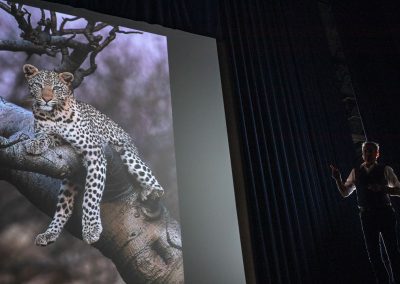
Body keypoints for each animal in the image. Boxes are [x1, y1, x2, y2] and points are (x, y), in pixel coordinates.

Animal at [22, 63, 164, 245]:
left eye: (56, 88)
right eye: (39, 86)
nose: (46, 99)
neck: (52, 114)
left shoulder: (95, 153)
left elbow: (91, 196)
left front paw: (91, 230)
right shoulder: (53, 135)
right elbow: (46, 136)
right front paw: (35, 143)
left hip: (129, 156)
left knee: (154, 182)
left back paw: (150, 191)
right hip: (70, 180)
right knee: (63, 208)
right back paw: (50, 233)